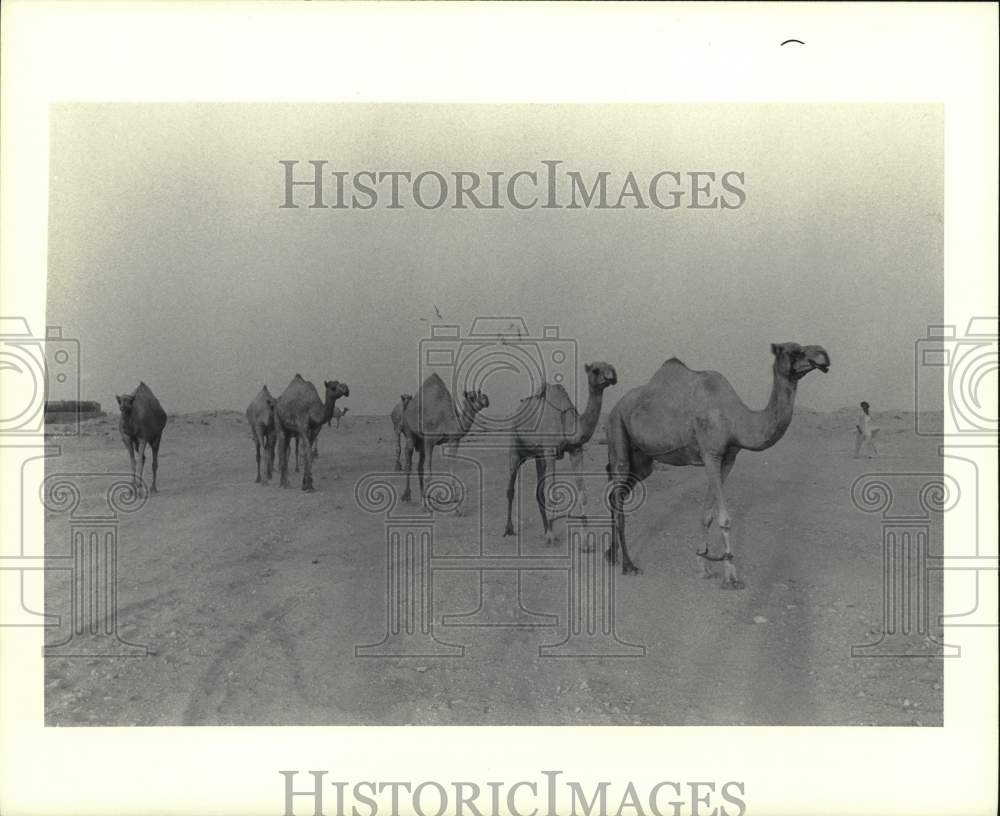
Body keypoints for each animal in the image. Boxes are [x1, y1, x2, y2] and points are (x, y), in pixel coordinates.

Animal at [400, 372, 490, 506]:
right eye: (472, 397)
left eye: (479, 392)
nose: (486, 398)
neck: (446, 421)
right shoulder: (429, 439)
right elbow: (429, 474)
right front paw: (425, 505)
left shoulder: (454, 440)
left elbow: (452, 471)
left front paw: (456, 502)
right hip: (409, 430)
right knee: (409, 460)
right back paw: (407, 496)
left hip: (421, 442)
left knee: (420, 466)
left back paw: (423, 495)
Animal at [508, 362, 616, 540]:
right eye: (595, 370)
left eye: (612, 368)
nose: (612, 377)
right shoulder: (550, 450)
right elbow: (553, 493)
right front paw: (551, 536)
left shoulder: (576, 450)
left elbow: (582, 493)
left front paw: (585, 538)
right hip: (515, 446)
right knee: (510, 487)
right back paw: (509, 529)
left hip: (538, 455)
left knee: (539, 492)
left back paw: (545, 527)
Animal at [604, 342, 832, 588]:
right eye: (793, 351)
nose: (823, 355)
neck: (736, 421)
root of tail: (616, 406)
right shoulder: (710, 454)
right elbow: (724, 518)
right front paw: (731, 576)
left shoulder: (728, 459)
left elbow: (707, 514)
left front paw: (702, 567)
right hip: (617, 430)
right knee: (618, 490)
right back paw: (628, 565)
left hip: (643, 460)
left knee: (617, 494)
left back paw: (611, 555)